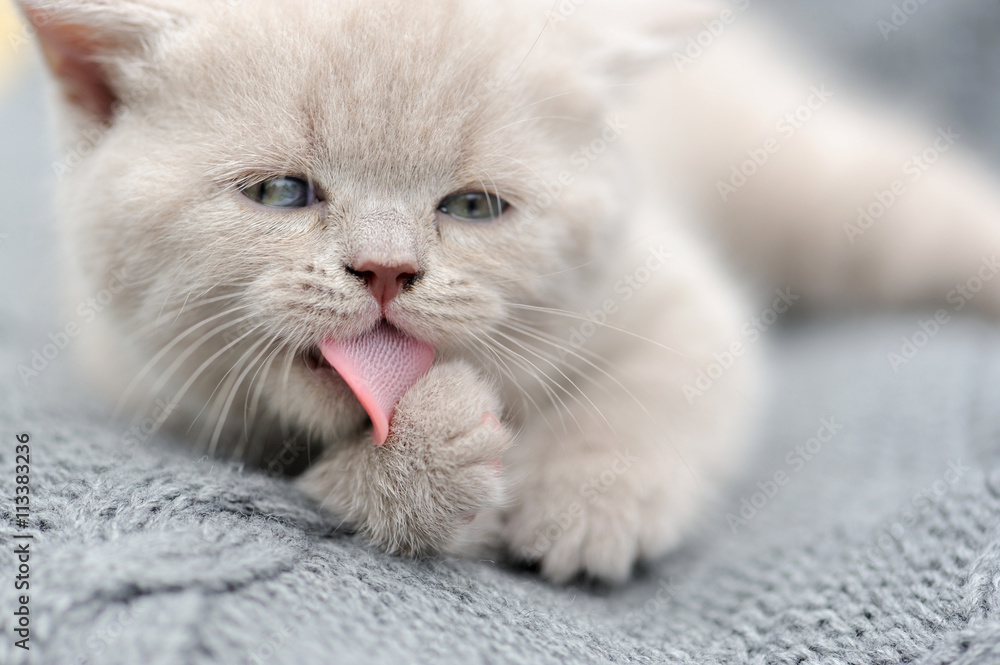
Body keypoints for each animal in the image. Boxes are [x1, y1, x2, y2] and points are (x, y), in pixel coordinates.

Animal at [19, 0, 1000, 580]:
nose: (385, 269)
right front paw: (431, 455)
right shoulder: (164, 399)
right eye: (283, 193)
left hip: (822, 190)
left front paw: (585, 506)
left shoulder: (670, 292)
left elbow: (661, 384)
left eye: (473, 206)